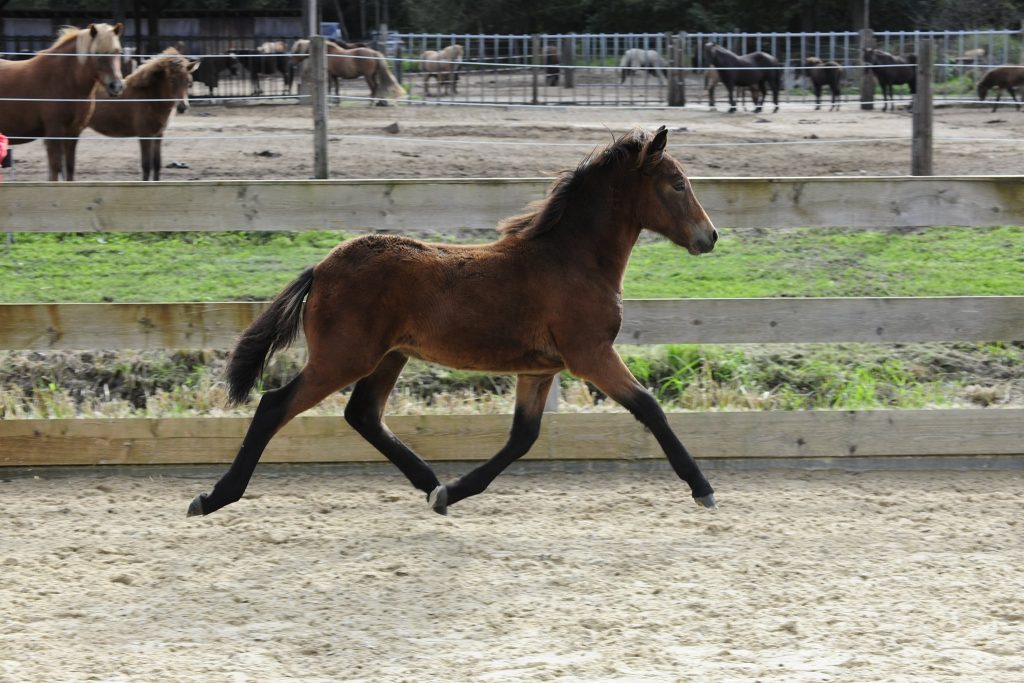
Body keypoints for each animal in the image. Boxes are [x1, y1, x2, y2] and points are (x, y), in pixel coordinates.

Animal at [0, 23, 125, 180]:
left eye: (118, 52)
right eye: (96, 53)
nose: (116, 86)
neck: (64, 79)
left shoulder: (73, 133)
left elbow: (69, 168)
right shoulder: (54, 132)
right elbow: (55, 169)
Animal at [88, 51, 199, 180]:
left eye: (189, 82)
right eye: (171, 80)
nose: (183, 107)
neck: (150, 98)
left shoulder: (158, 135)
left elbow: (157, 165)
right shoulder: (145, 135)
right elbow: (146, 166)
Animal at [186, 126, 719, 520]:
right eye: (677, 184)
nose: (709, 237)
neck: (571, 259)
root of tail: (321, 268)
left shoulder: (539, 369)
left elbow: (522, 437)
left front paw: (453, 492)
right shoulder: (591, 355)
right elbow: (649, 407)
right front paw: (702, 488)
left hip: (388, 356)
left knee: (363, 415)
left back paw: (430, 483)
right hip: (342, 358)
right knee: (275, 405)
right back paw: (214, 497)